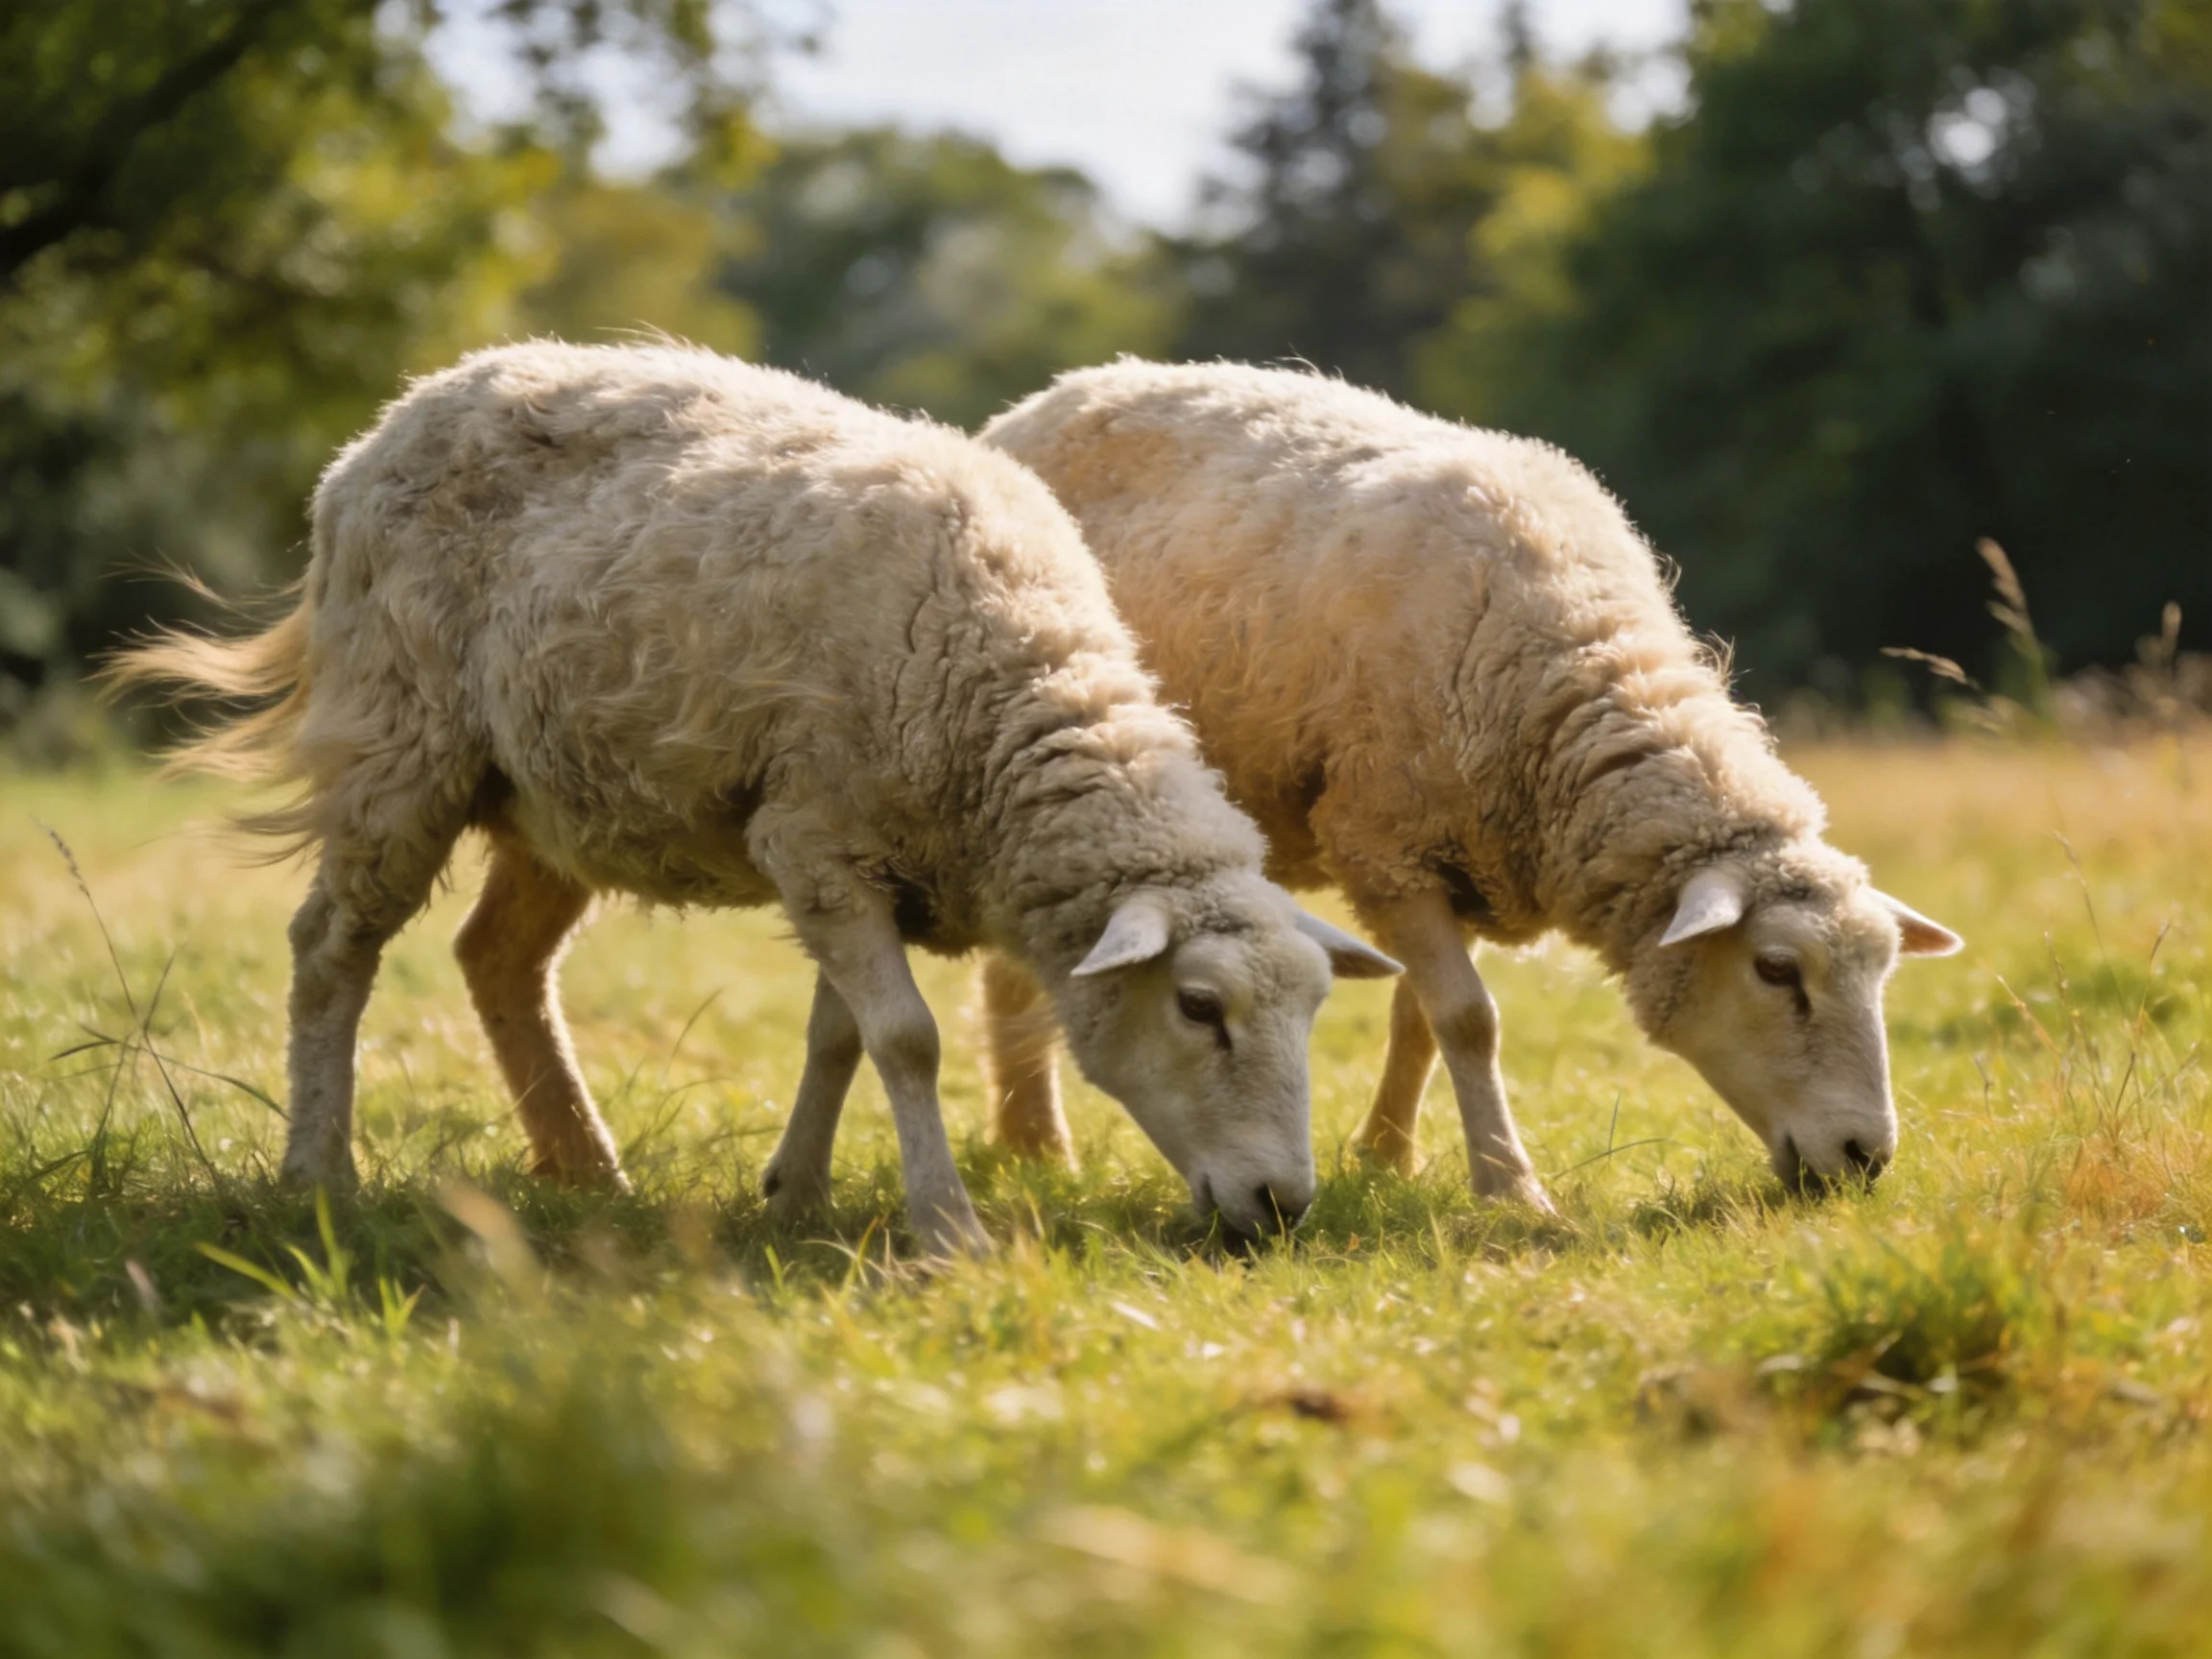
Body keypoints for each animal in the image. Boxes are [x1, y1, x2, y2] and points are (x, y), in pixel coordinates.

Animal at [112, 341, 1399, 1256]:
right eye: (1198, 1007)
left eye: (1313, 1012)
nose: (1281, 1207)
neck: (1006, 695)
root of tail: (402, 412)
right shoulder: (816, 835)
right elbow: (906, 1038)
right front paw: (947, 1229)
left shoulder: (858, 858)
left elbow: (839, 1035)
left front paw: (797, 1193)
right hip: (402, 736)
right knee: (333, 947)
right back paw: (319, 1172)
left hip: (555, 790)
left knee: (497, 958)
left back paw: (586, 1168)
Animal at [974, 359, 1961, 1212]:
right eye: (1777, 969)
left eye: (1882, 970)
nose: (1865, 1159)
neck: (1568, 669)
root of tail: (1054, 392)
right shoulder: (1385, 845)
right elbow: (1469, 1019)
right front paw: (1512, 1191)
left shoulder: (1475, 856)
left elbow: (1420, 1018)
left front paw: (1387, 1159)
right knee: (1015, 973)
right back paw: (1037, 1148)